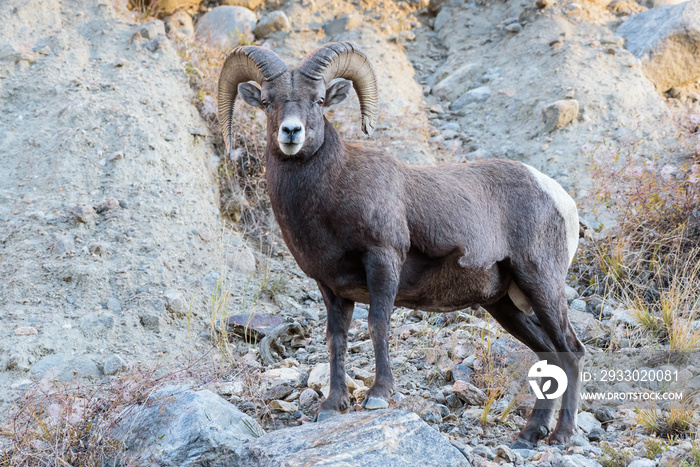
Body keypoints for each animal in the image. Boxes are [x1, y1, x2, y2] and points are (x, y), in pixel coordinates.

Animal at [217, 43, 584, 446]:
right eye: (268, 102)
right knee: (549, 355)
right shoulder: (331, 287)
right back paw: (531, 433)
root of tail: (558, 196)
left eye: (319, 100)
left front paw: (378, 395)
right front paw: (332, 405)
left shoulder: (383, 261)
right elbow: (336, 340)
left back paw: (562, 435)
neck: (331, 192)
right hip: (504, 305)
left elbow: (378, 324)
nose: (291, 132)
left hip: (541, 284)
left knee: (570, 352)